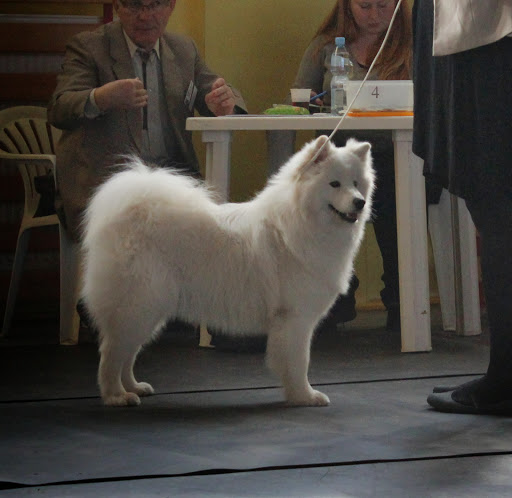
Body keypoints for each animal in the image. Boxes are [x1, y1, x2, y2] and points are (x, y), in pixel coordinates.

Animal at [82, 136, 374, 408]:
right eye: (334, 184)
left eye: (357, 184)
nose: (359, 203)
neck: (301, 223)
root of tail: (130, 211)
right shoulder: (295, 318)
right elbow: (299, 362)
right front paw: (304, 396)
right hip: (138, 306)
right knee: (111, 353)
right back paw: (116, 396)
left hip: (148, 310)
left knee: (127, 354)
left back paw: (134, 387)